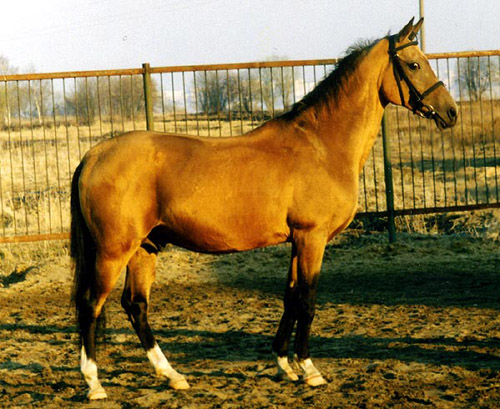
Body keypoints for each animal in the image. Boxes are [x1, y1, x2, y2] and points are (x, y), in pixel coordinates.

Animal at [70, 18, 457, 400]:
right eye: (414, 64)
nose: (451, 112)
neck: (321, 144)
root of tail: (94, 155)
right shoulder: (312, 238)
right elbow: (307, 300)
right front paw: (310, 369)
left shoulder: (297, 241)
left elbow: (290, 297)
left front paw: (285, 365)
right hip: (113, 251)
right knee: (91, 304)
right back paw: (94, 384)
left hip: (144, 248)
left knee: (135, 306)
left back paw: (172, 375)